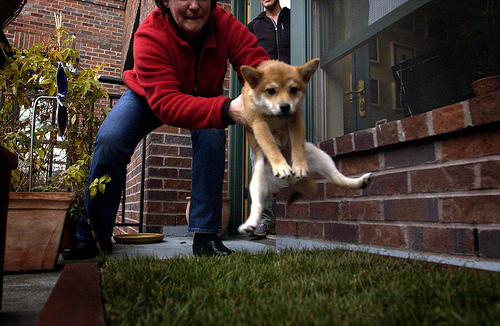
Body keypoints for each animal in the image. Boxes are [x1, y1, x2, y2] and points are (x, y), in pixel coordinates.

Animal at [237, 59, 372, 234]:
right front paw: (281, 165)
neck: (277, 118)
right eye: (271, 91)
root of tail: (290, 182)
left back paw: (360, 182)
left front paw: (299, 165)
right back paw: (250, 224)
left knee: (337, 180)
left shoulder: (296, 119)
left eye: (293, 89)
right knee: (257, 206)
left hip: (321, 157)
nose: (285, 106)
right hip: (257, 183)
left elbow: (297, 145)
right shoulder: (258, 124)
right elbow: (270, 146)